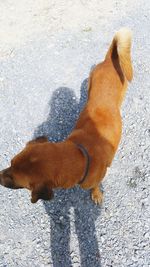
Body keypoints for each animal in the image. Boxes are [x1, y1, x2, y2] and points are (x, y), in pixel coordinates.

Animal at [0, 28, 133, 205]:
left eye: (13, 179)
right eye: (10, 162)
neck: (82, 154)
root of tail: (110, 60)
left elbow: (95, 186)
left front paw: (96, 193)